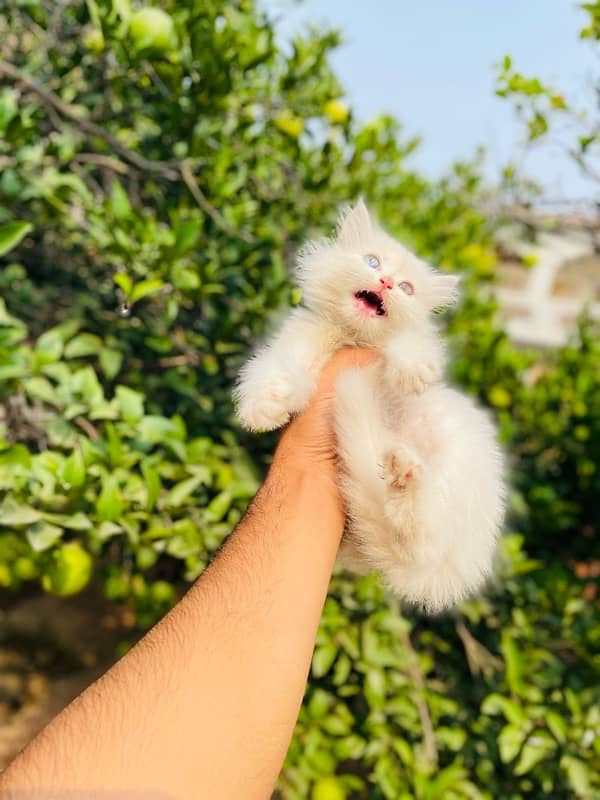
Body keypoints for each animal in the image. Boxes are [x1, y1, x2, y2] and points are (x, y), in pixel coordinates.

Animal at [234, 202, 506, 612]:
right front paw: (264, 406)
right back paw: (401, 475)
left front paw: (411, 371)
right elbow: (276, 368)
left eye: (407, 289)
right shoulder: (298, 343)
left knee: (420, 539)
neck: (352, 337)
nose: (387, 283)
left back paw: (404, 475)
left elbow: (410, 342)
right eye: (372, 261)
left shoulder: (412, 342)